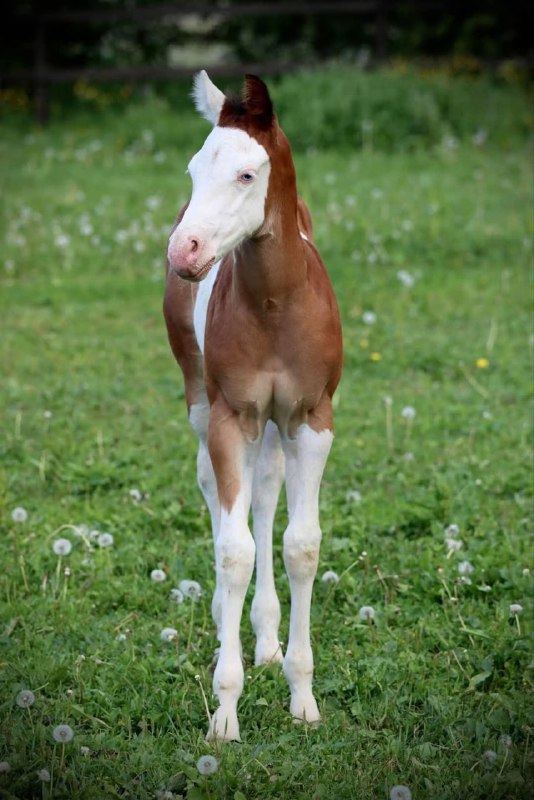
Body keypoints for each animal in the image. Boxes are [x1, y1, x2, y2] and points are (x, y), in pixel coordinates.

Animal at [163, 72, 346, 740]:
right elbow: (233, 550)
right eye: (193, 170)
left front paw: (303, 698)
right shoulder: (229, 418)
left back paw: (266, 640)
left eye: (247, 174)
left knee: (266, 493)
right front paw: (225, 711)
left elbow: (301, 545)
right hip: (199, 394)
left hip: (274, 428)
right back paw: (228, 619)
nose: (184, 252)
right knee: (215, 491)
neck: (274, 303)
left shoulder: (312, 420)